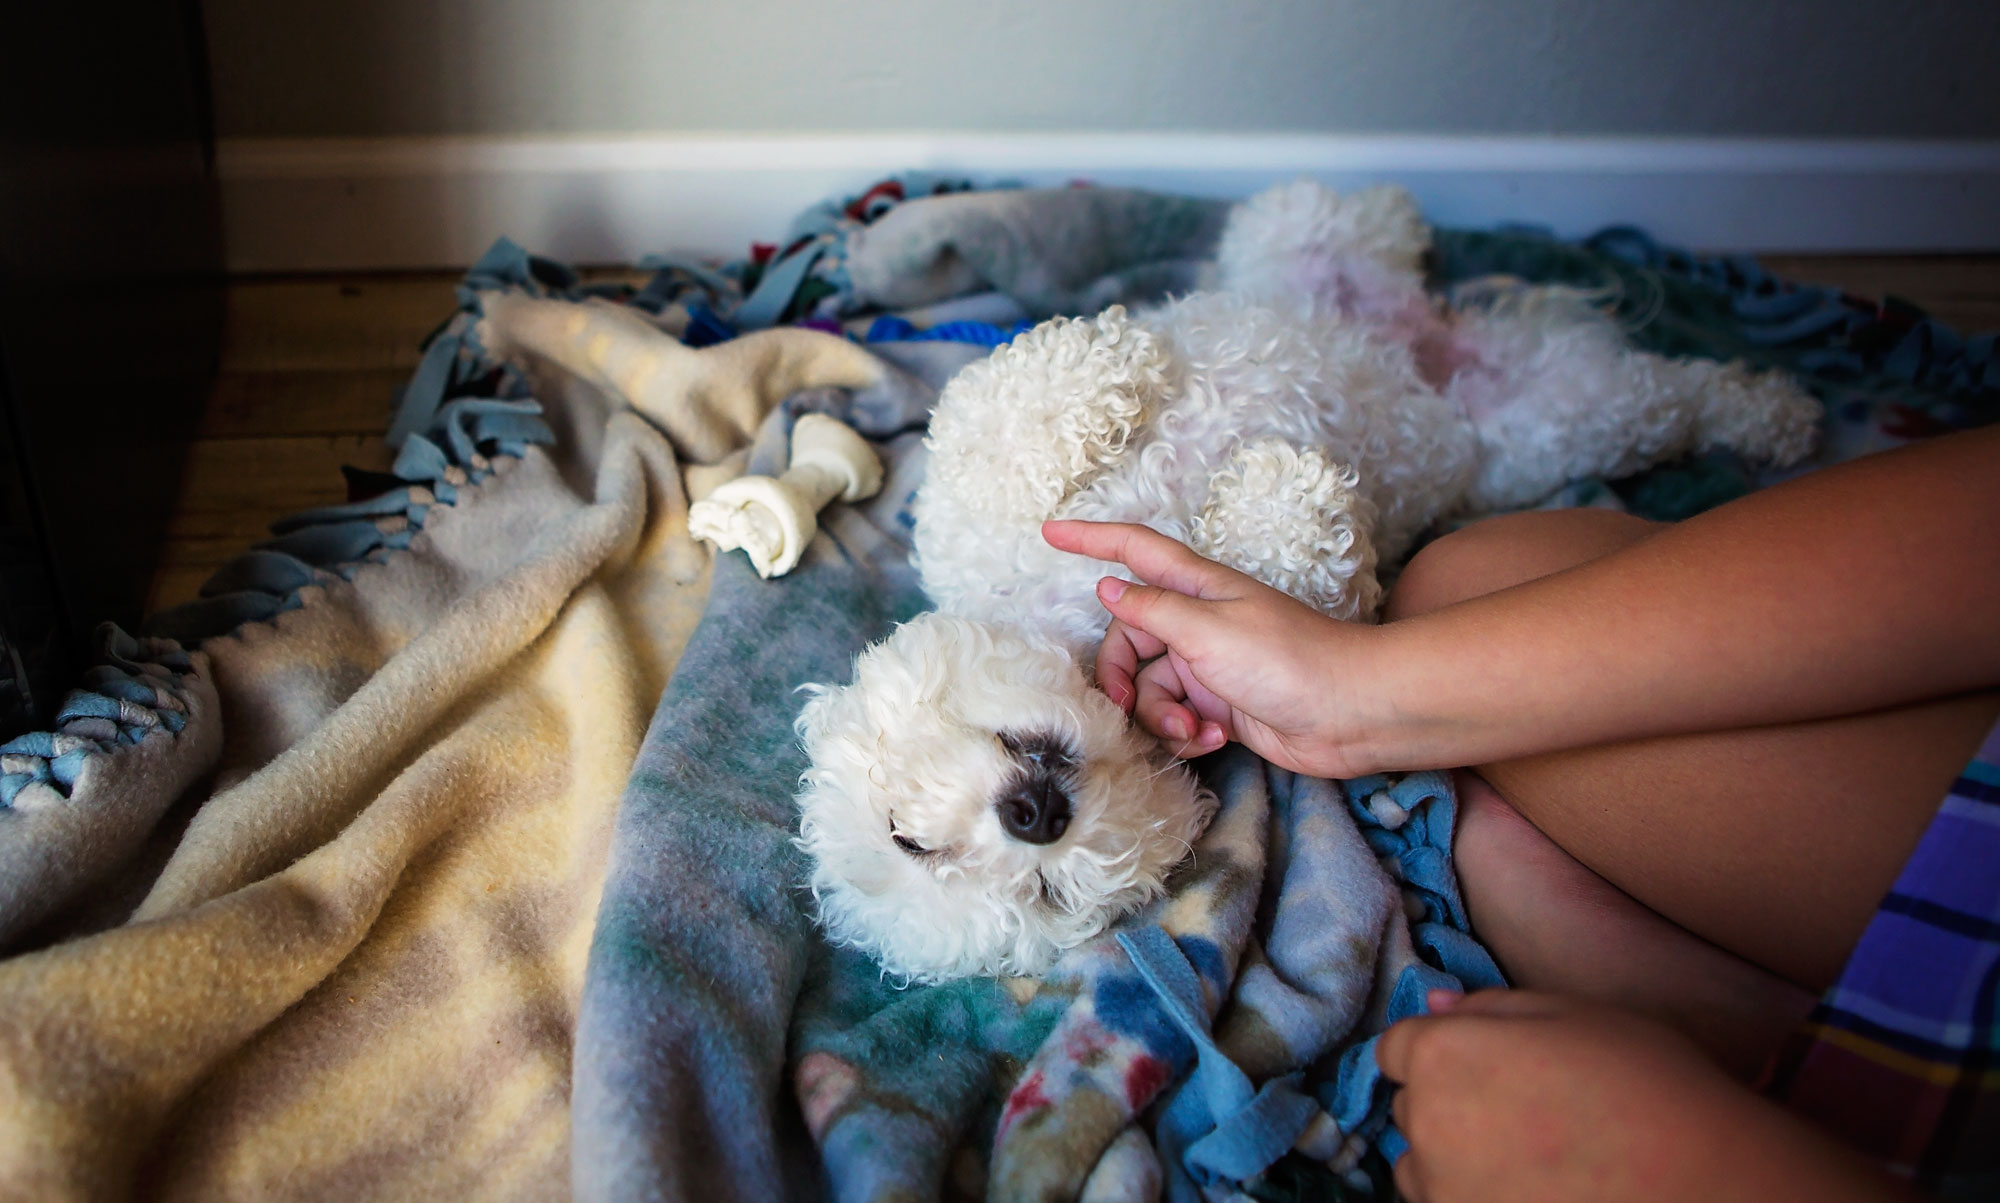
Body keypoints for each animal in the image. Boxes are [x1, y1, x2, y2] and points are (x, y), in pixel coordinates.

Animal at [788, 179, 1824, 983]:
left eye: (903, 834)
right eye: (1043, 892)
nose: (1032, 815)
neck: (1074, 626)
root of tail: (1433, 343)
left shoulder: (973, 498)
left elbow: (998, 416)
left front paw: (1118, 365)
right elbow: (1301, 569)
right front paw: (1274, 496)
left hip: (1298, 241)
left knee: (1342, 223)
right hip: (1555, 426)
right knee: (1672, 396)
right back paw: (1770, 413)